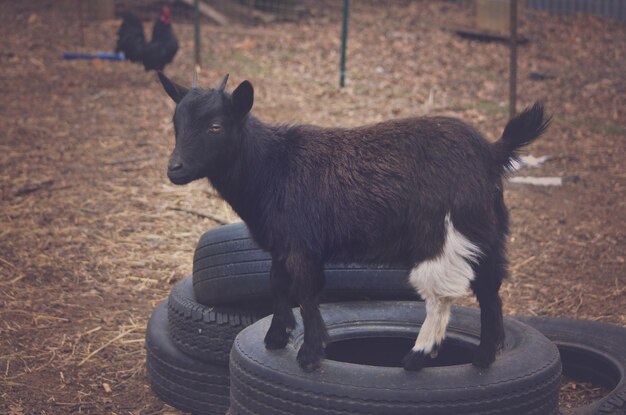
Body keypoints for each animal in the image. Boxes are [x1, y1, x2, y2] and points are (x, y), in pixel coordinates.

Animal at [158, 72, 548, 374]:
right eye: (175, 124)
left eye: (215, 126)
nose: (175, 169)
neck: (274, 166)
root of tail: (492, 153)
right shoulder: (283, 243)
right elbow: (277, 285)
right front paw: (276, 337)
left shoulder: (302, 245)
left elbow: (306, 293)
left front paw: (310, 355)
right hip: (486, 230)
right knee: (490, 288)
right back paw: (484, 357)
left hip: (442, 232)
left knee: (444, 293)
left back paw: (418, 356)